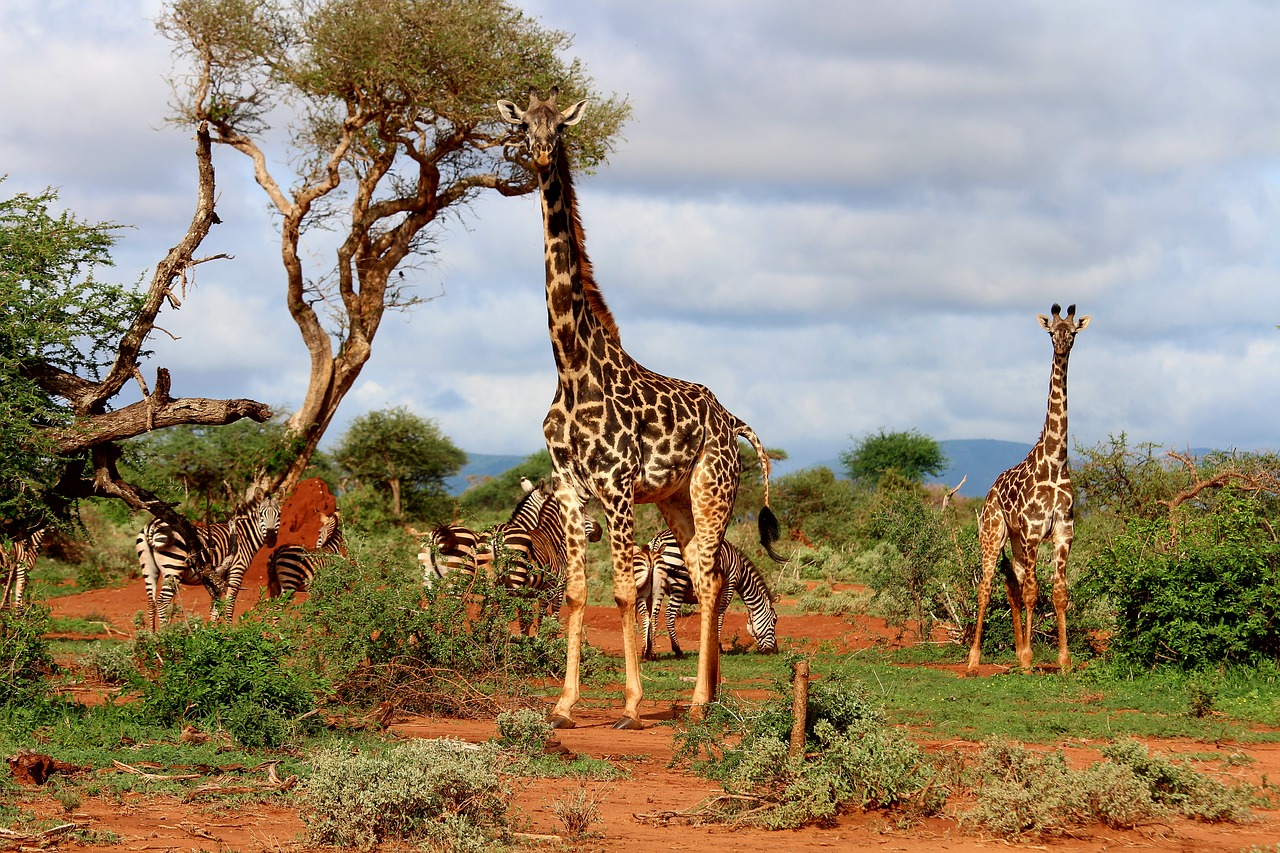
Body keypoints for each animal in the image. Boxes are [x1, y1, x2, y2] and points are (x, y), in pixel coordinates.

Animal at [136, 496, 281, 629]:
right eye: (261, 514)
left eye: (278, 514)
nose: (271, 540)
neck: (243, 536)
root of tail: (151, 525)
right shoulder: (236, 570)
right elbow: (229, 603)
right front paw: (230, 631)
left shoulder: (217, 577)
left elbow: (215, 606)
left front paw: (212, 631)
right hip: (173, 568)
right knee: (161, 602)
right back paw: (165, 634)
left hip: (148, 568)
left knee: (151, 603)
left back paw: (153, 636)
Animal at [632, 529, 778, 660]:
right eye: (774, 620)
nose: (775, 651)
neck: (740, 570)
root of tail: (658, 539)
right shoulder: (729, 585)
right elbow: (720, 616)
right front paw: (718, 648)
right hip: (679, 583)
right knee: (668, 615)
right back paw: (677, 651)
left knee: (650, 615)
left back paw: (648, 652)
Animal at [967, 303, 1091, 676]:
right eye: (1052, 332)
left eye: (1073, 332)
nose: (1062, 347)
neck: (1055, 461)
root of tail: (991, 489)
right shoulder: (1035, 532)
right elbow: (1035, 592)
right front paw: (1031, 659)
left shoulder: (1063, 532)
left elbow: (1059, 592)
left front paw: (1063, 660)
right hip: (993, 533)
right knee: (986, 587)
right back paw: (974, 660)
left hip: (1017, 542)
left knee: (1014, 586)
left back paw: (1020, 652)